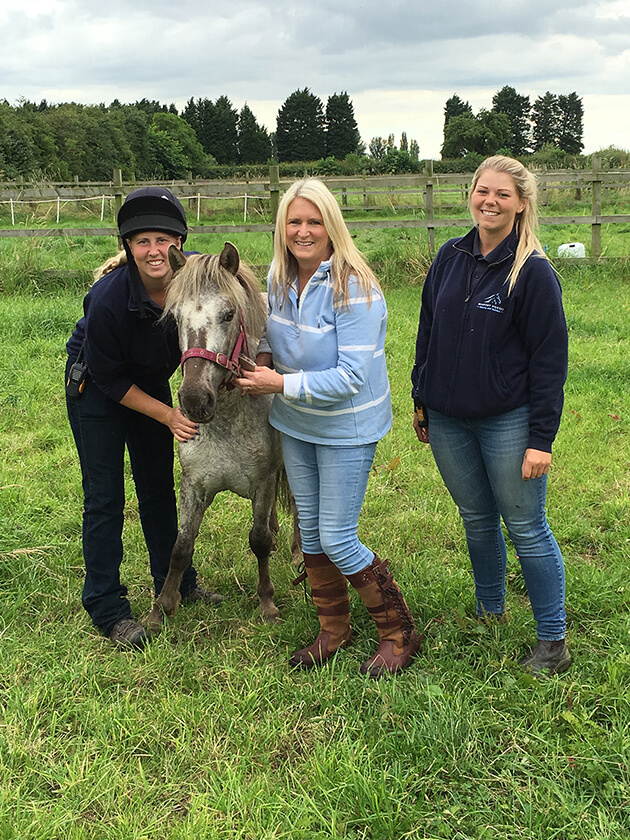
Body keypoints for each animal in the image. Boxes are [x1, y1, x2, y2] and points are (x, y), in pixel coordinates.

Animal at [146, 242, 295, 632]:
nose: (195, 400)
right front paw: (161, 609)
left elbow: (258, 541)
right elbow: (180, 546)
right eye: (176, 318)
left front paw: (267, 603)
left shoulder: (263, 482)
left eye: (229, 314)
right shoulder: (194, 485)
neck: (227, 422)